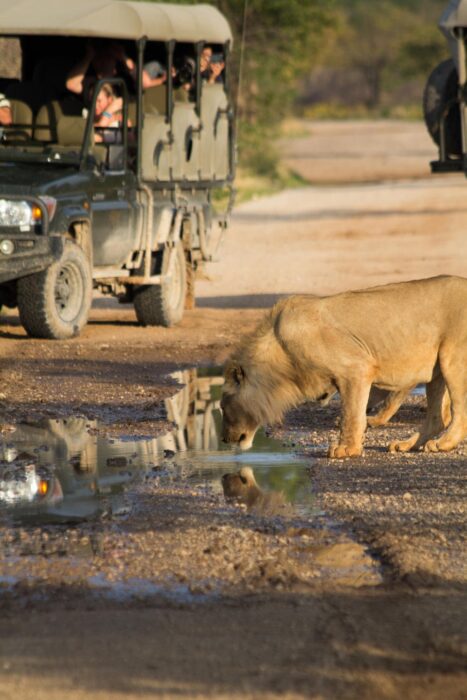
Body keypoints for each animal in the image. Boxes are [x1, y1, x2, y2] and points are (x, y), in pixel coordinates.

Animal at [220, 274, 467, 460]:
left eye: (223, 407)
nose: (223, 439)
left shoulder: (356, 368)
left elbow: (351, 413)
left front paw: (347, 449)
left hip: (453, 360)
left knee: (459, 412)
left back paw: (443, 444)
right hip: (436, 373)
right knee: (437, 418)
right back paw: (408, 445)